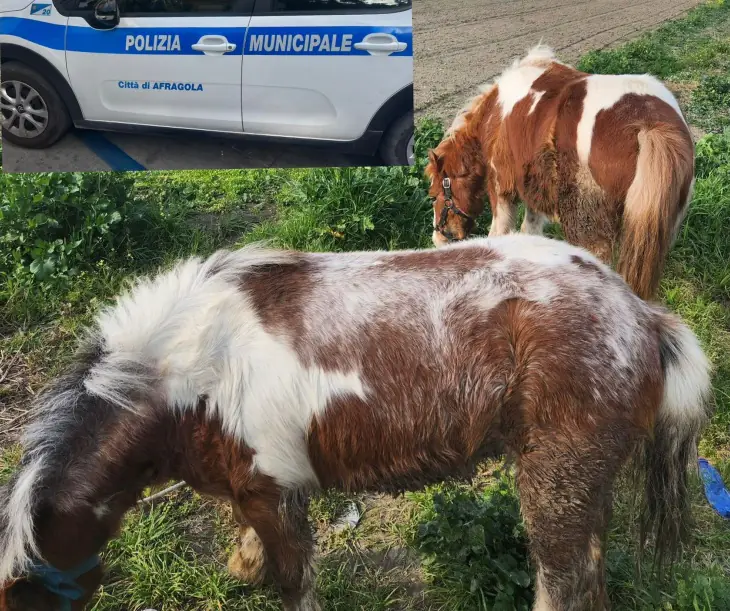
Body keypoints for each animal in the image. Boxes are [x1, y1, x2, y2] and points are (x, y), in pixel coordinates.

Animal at [0, 236, 712, 611]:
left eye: (24, 598)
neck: (188, 378)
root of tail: (641, 314)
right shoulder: (251, 492)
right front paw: (242, 566)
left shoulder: (275, 495)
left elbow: (294, 582)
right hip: (584, 483)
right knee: (591, 568)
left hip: (554, 481)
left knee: (562, 578)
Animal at [425, 44, 695, 301]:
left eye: (434, 194)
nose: (438, 239)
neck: (495, 113)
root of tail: (649, 126)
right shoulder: (533, 186)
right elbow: (530, 230)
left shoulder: (501, 188)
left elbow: (499, 232)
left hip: (587, 223)